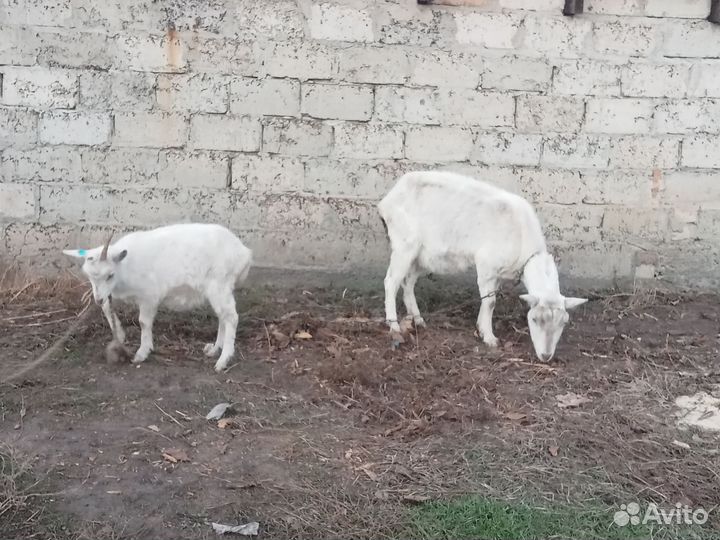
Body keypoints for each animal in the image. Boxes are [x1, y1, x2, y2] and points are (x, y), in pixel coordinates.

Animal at [63, 223, 252, 372]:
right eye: (89, 276)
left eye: (110, 275)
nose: (97, 299)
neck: (125, 266)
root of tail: (244, 253)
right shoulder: (114, 292)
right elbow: (106, 308)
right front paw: (120, 335)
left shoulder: (149, 296)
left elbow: (143, 322)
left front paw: (142, 353)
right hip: (220, 289)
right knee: (223, 317)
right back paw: (214, 350)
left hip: (219, 284)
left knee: (231, 318)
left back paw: (223, 360)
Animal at [378, 171, 587, 362]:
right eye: (534, 319)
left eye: (564, 322)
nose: (545, 356)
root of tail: (386, 201)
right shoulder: (487, 264)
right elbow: (490, 302)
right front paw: (489, 338)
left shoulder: (498, 273)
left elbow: (489, 299)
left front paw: (480, 327)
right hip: (404, 244)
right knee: (391, 281)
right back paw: (393, 325)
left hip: (423, 255)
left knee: (408, 282)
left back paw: (418, 319)